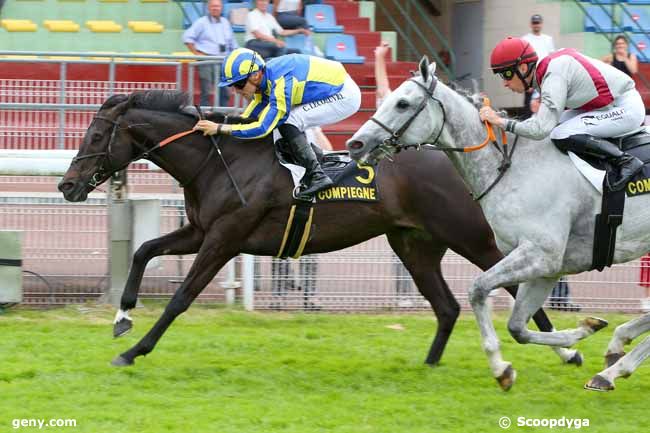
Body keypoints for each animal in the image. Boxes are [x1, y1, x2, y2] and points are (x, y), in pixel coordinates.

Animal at [57, 88, 576, 374]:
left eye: (97, 136)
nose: (67, 185)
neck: (218, 161)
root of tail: (465, 158)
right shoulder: (202, 230)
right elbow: (143, 250)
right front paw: (122, 318)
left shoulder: (225, 237)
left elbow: (182, 297)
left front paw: (134, 351)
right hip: (414, 244)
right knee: (447, 306)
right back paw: (429, 365)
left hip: (472, 237)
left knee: (516, 286)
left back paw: (567, 352)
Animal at [346, 55, 648, 390]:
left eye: (402, 103)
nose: (355, 143)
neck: (514, 168)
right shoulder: (550, 266)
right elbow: (517, 326)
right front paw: (580, 335)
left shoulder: (540, 255)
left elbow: (479, 290)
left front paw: (500, 366)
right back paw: (616, 351)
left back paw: (612, 369)